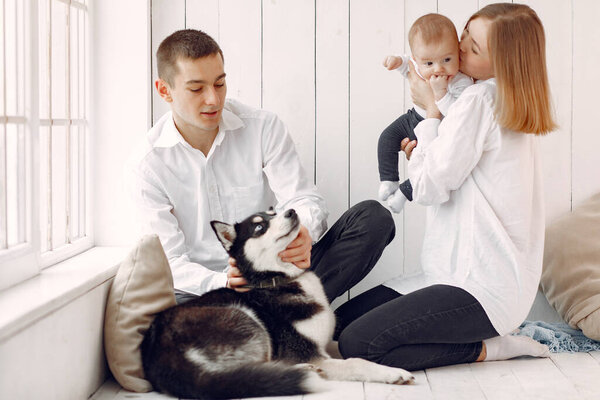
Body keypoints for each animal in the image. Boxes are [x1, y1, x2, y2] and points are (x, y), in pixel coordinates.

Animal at [141, 208, 414, 398]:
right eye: (260, 227)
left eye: (273, 212)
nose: (291, 211)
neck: (278, 279)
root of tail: (161, 357)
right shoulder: (304, 350)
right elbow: (355, 362)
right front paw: (391, 373)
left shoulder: (322, 343)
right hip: (247, 320)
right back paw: (303, 372)